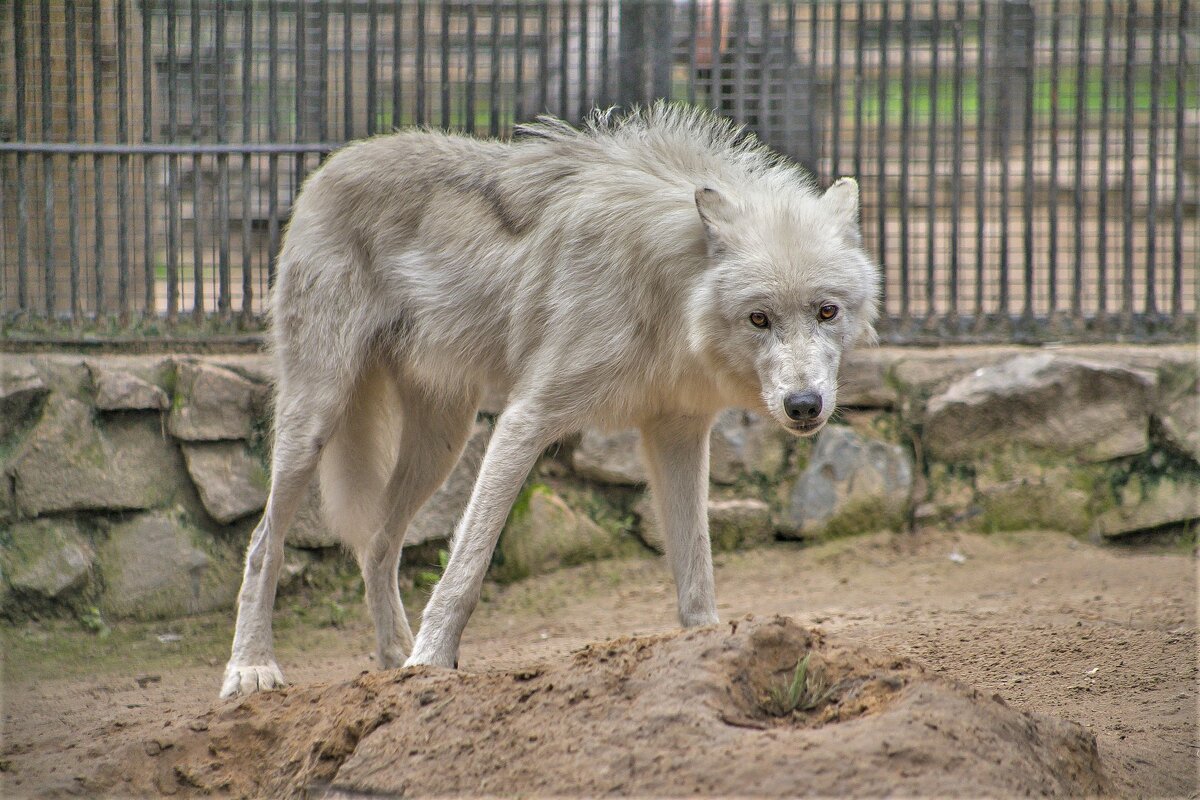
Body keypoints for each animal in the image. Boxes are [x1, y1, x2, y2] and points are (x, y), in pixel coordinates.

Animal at [223, 103, 883, 695]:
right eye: (758, 318)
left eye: (827, 311)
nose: (804, 406)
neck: (667, 289)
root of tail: (332, 163)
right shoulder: (525, 420)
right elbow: (465, 569)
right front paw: (431, 661)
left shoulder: (677, 433)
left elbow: (697, 570)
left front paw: (709, 647)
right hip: (319, 418)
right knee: (264, 544)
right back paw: (253, 669)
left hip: (443, 443)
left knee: (378, 547)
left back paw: (390, 661)